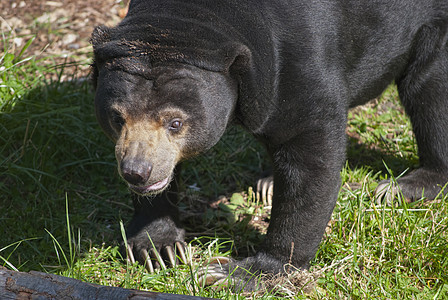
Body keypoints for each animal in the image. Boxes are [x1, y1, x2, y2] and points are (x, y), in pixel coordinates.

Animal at [91, 0, 448, 290]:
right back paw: (268, 182)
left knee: (430, 93)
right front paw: (158, 247)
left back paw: (402, 187)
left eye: (175, 123)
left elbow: (310, 160)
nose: (136, 172)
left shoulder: (298, 65)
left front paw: (239, 274)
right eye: (117, 118)